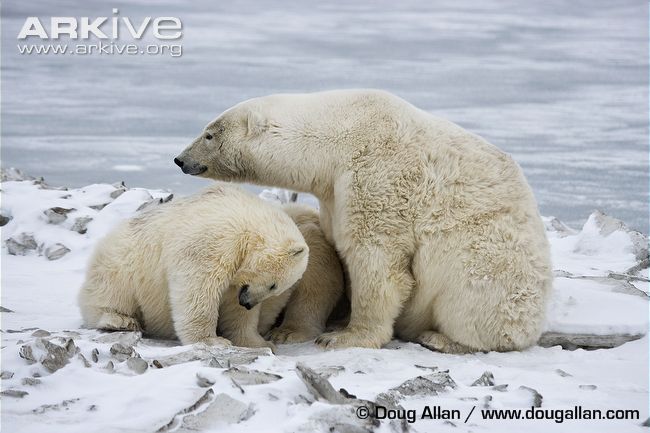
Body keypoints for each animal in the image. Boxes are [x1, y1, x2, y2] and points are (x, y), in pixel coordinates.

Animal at [78, 183, 309, 349]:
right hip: (123, 262)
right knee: (111, 290)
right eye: (273, 284)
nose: (248, 303)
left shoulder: (239, 279)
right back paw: (119, 320)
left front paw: (258, 342)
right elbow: (199, 288)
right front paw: (212, 340)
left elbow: (235, 308)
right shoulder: (213, 242)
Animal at [174, 89, 554, 353]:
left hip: (490, 265)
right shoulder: (333, 193)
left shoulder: (377, 176)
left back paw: (442, 339)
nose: (180, 159)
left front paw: (344, 337)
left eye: (209, 134)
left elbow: (377, 262)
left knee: (472, 301)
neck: (340, 134)